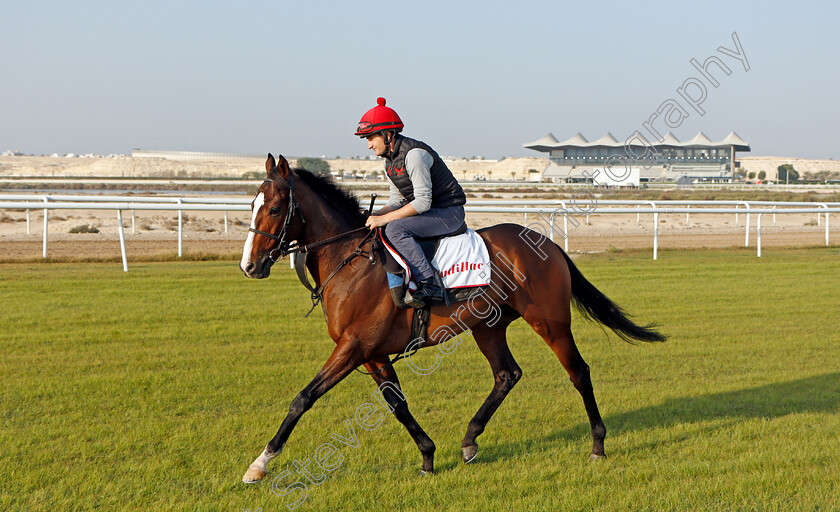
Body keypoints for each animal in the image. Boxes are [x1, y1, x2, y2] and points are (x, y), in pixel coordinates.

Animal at [240, 154, 668, 482]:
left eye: (274, 209)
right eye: (251, 207)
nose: (249, 266)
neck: (351, 260)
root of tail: (547, 244)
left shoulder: (353, 347)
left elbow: (303, 398)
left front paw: (259, 464)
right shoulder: (372, 354)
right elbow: (398, 405)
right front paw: (428, 456)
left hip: (550, 322)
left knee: (578, 372)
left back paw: (597, 444)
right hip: (488, 327)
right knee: (507, 374)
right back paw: (470, 439)